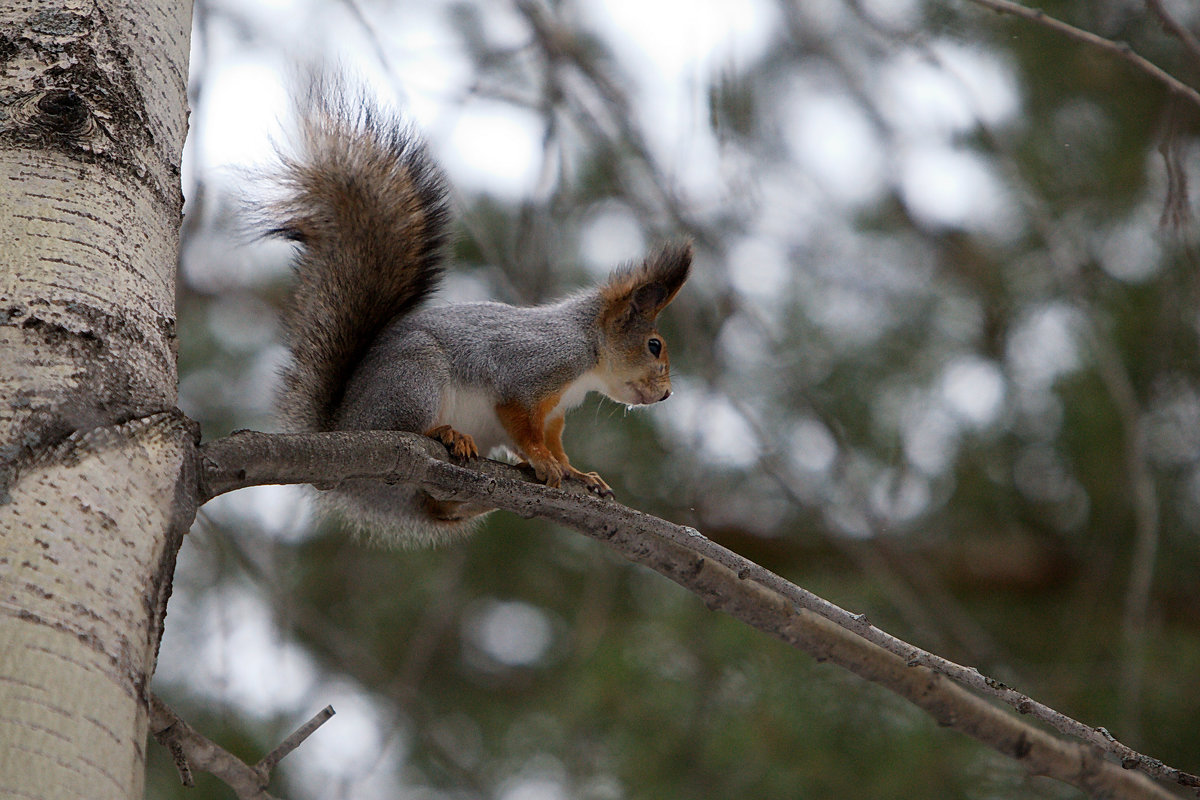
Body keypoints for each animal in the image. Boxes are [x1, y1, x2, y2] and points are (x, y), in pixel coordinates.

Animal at [266, 84, 691, 546]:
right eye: (654, 346)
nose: (666, 395)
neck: (588, 352)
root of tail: (342, 427)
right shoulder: (531, 371)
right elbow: (521, 424)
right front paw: (543, 461)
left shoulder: (555, 413)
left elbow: (553, 442)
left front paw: (576, 472)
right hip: (413, 380)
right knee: (406, 429)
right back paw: (444, 433)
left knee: (442, 509)